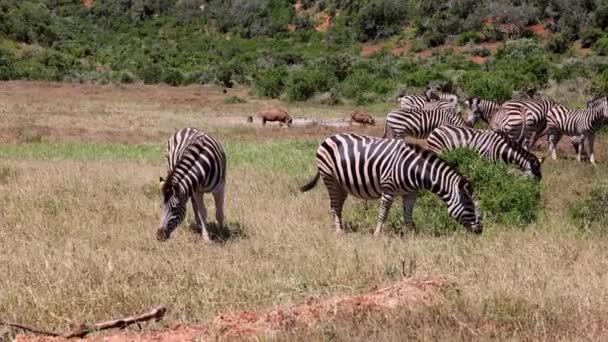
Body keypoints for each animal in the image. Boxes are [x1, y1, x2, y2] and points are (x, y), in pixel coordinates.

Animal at [298, 133, 480, 235]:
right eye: (469, 205)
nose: (481, 230)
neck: (413, 169)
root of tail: (329, 137)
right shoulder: (388, 189)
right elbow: (383, 213)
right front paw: (377, 234)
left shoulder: (411, 193)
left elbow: (408, 215)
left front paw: (412, 234)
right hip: (330, 179)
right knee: (334, 205)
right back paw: (339, 231)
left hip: (341, 184)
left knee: (338, 205)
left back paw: (341, 227)